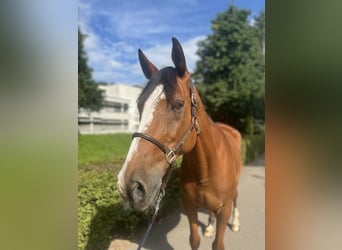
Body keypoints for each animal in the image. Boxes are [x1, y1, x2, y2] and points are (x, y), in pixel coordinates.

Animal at [118, 37, 243, 250]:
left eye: (178, 104)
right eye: (139, 106)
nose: (129, 186)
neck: (206, 171)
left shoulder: (224, 209)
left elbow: (218, 244)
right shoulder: (190, 206)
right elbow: (195, 240)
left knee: (236, 199)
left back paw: (235, 223)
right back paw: (210, 227)